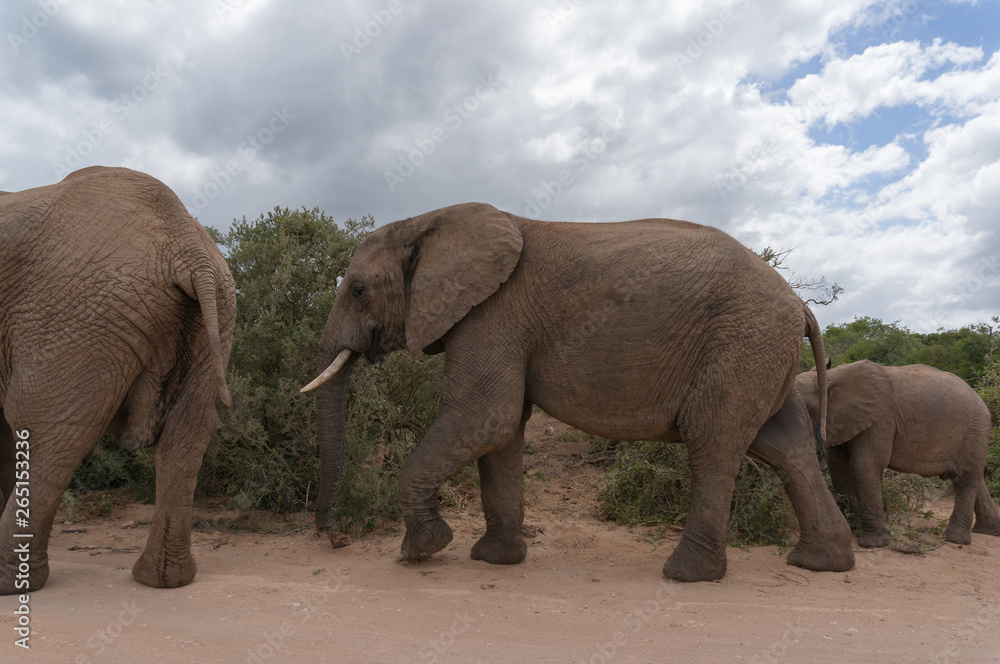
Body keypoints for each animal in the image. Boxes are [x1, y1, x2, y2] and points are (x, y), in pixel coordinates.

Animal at [0, 166, 235, 592]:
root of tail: (186, 243)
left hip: (74, 312)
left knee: (42, 429)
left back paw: (13, 583)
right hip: (218, 313)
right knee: (188, 433)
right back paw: (164, 580)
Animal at [302, 202, 852, 580]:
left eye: (357, 290)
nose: (334, 537)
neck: (428, 220)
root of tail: (800, 305)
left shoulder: (494, 313)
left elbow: (486, 417)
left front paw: (422, 552)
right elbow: (501, 431)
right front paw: (495, 561)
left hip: (741, 342)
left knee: (713, 441)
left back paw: (686, 575)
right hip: (760, 351)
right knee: (786, 446)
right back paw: (820, 563)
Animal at [796, 360, 1000, 548]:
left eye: (804, 406)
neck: (831, 377)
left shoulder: (880, 418)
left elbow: (865, 465)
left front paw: (874, 544)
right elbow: (839, 469)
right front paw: (853, 529)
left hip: (976, 428)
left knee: (964, 478)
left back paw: (955, 539)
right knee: (975, 477)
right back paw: (989, 531)